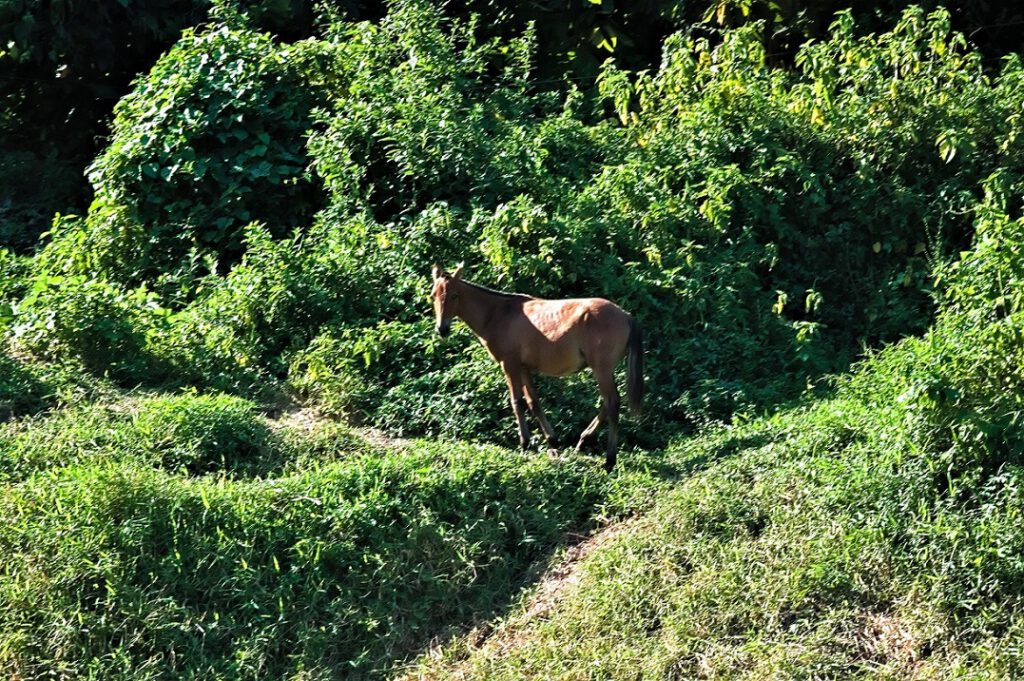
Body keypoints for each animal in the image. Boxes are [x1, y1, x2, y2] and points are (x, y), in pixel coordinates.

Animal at [430, 262, 638, 471]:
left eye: (454, 295)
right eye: (433, 295)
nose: (442, 329)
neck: (498, 314)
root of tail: (626, 316)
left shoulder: (510, 365)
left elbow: (517, 402)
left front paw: (525, 444)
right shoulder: (523, 368)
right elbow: (533, 402)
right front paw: (552, 440)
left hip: (601, 369)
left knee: (612, 403)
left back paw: (609, 460)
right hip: (604, 370)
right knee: (607, 404)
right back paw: (583, 441)